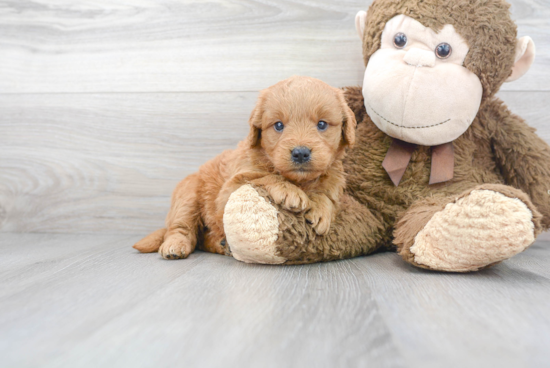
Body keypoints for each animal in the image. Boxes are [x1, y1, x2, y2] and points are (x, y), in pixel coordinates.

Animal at [134, 75, 358, 258]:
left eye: (322, 124)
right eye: (278, 125)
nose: (300, 153)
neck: (300, 181)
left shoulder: (334, 182)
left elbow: (327, 195)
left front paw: (321, 209)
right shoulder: (227, 192)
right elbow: (264, 176)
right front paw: (289, 191)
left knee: (202, 238)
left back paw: (221, 244)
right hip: (187, 195)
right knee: (181, 228)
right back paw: (175, 246)